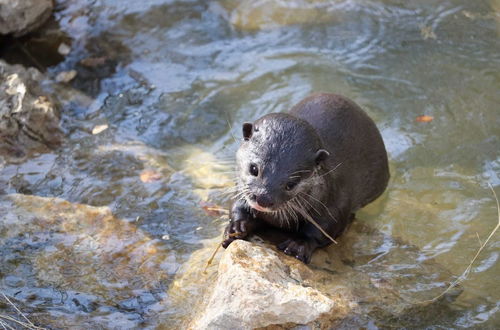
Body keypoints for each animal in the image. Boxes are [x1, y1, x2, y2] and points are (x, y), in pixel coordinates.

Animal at [223, 93, 390, 262]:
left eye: (291, 184)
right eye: (254, 169)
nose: (263, 198)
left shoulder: (335, 203)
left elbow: (324, 228)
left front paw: (298, 244)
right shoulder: (240, 187)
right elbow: (237, 205)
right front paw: (236, 227)